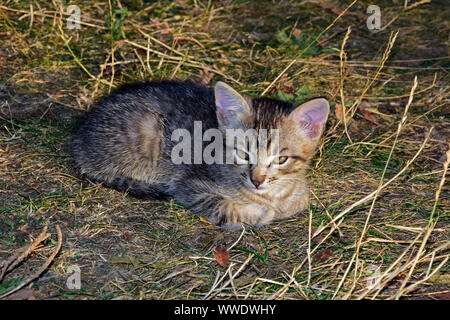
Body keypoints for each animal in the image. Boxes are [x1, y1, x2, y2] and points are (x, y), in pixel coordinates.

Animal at [71, 81, 330, 229]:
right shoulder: (187, 185)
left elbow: (299, 201)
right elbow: (221, 206)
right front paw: (258, 213)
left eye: (281, 159)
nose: (257, 180)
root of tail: (79, 138)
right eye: (243, 153)